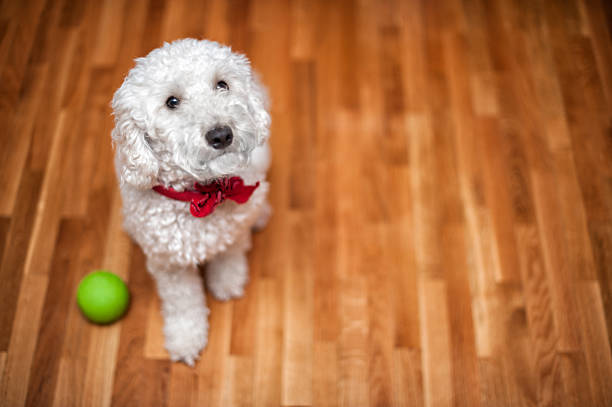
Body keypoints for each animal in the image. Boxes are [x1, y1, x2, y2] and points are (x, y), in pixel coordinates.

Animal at [110, 39, 272, 366]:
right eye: (172, 101)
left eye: (222, 84)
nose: (221, 134)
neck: (202, 195)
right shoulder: (170, 265)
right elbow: (183, 303)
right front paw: (186, 338)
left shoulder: (233, 230)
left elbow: (230, 254)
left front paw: (228, 281)